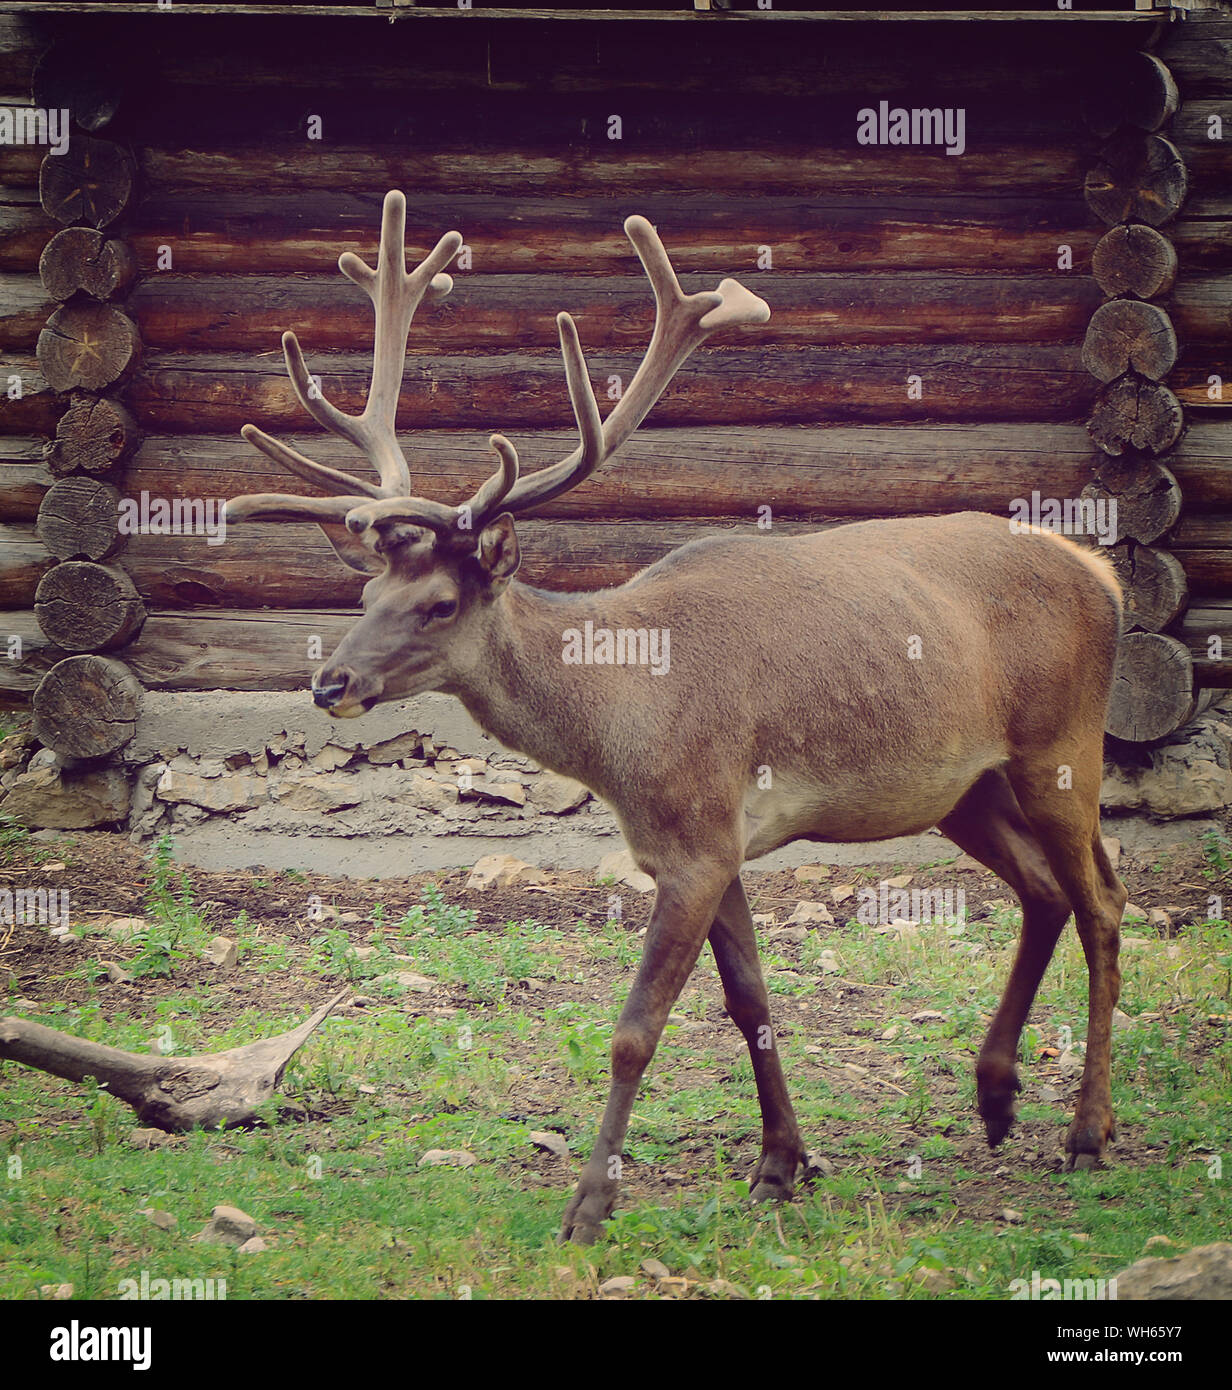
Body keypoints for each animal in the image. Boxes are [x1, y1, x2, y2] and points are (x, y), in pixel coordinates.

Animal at [222, 190, 1129, 1245]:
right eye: (368, 588)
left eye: (439, 604)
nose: (330, 684)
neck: (623, 728)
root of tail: (1101, 572)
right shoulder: (704, 842)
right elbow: (749, 1001)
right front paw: (780, 1165)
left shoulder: (697, 835)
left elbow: (635, 1030)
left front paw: (588, 1206)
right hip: (963, 787)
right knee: (1046, 892)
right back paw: (994, 1096)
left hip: (1062, 746)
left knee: (1104, 901)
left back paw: (1087, 1132)